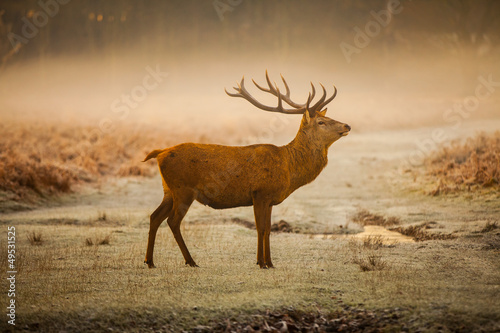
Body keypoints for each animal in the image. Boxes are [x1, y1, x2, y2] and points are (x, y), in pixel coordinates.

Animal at [143, 71, 350, 268]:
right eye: (321, 122)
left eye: (327, 117)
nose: (347, 125)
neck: (288, 168)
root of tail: (160, 153)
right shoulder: (260, 193)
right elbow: (261, 228)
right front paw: (261, 263)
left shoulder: (270, 199)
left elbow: (269, 229)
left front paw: (270, 263)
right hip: (183, 189)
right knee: (172, 221)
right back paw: (190, 261)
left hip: (169, 190)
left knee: (155, 217)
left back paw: (150, 261)